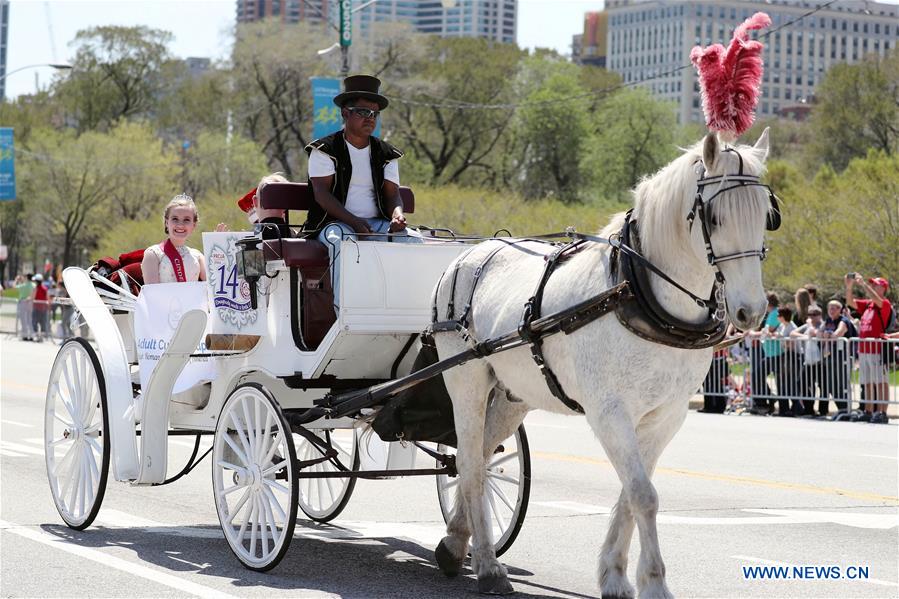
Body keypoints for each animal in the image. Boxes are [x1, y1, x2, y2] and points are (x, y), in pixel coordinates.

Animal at [432, 132, 776, 599]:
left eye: (767, 215)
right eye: (716, 217)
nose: (751, 311)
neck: (635, 291)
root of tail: (467, 255)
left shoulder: (665, 417)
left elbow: (631, 492)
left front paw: (614, 575)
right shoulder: (609, 411)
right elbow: (644, 495)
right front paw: (654, 583)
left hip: (512, 395)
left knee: (483, 457)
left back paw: (455, 542)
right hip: (466, 379)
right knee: (468, 466)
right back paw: (487, 565)